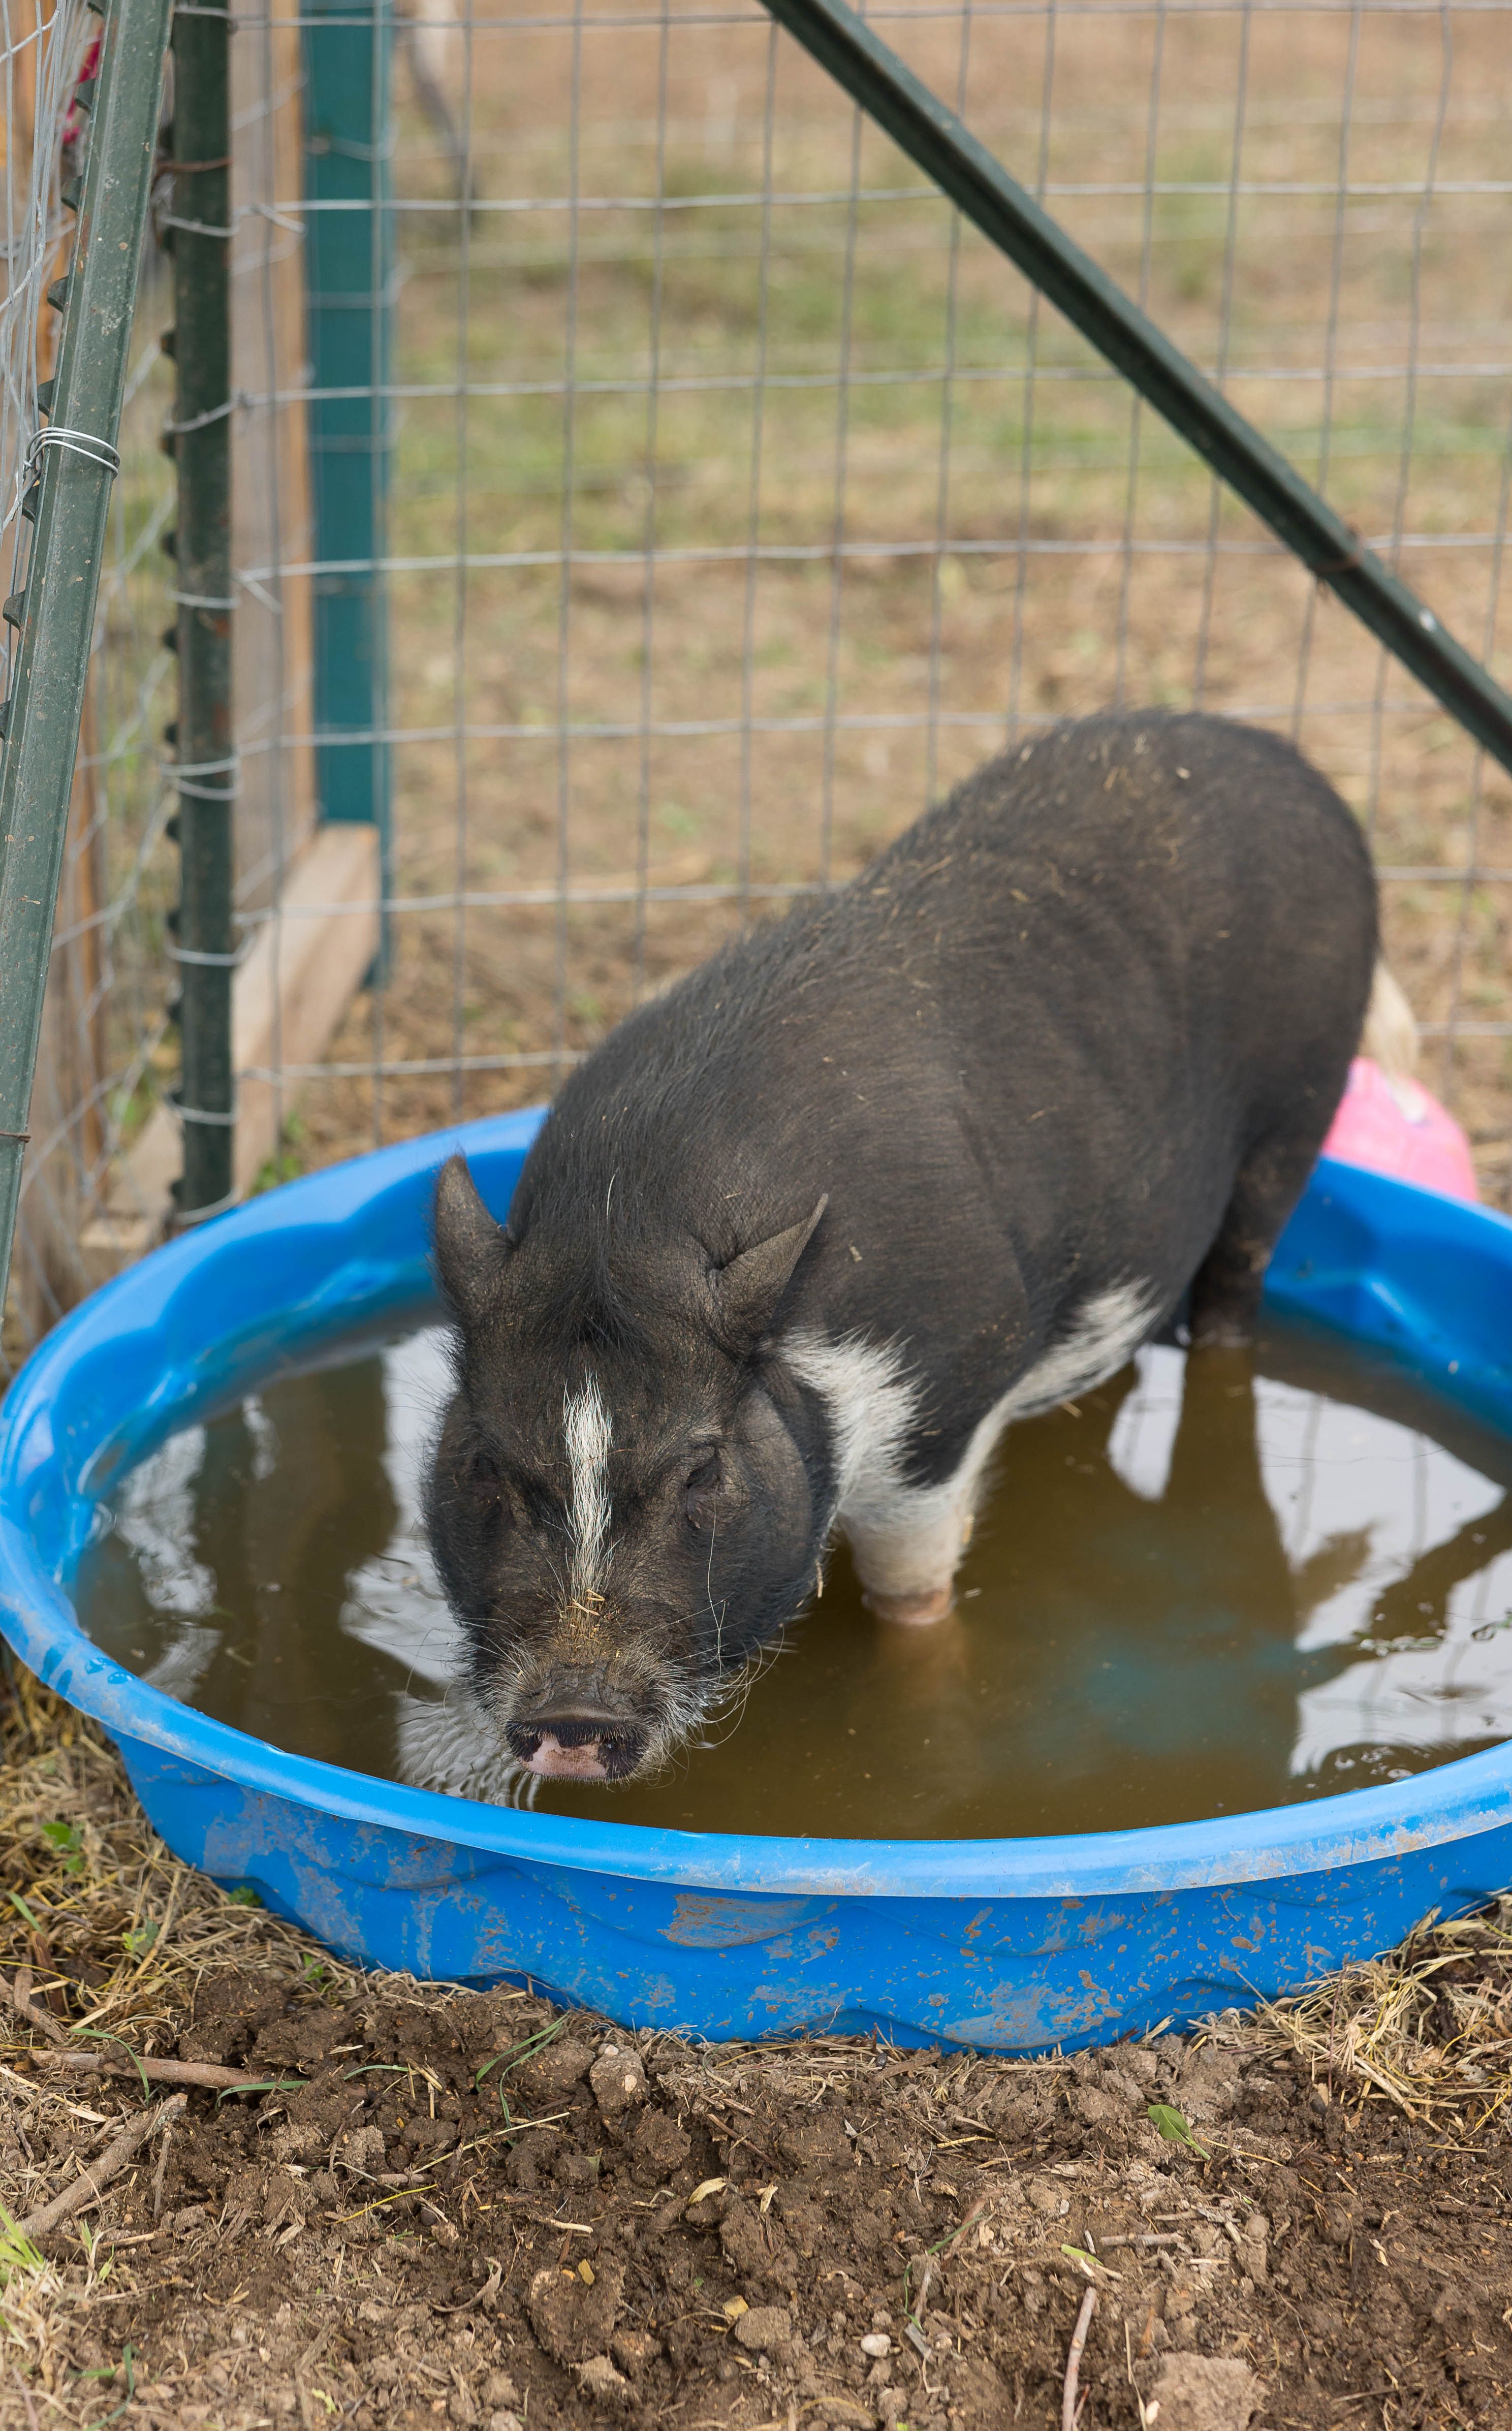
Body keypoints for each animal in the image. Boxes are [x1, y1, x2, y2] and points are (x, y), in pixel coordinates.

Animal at [424, 710, 1386, 1787]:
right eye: (486, 1463)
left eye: (703, 1469)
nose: (574, 1719)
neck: (625, 1225)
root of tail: (1276, 754)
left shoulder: (950, 1391)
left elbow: (912, 1594)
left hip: (1301, 1101)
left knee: (1235, 1287)